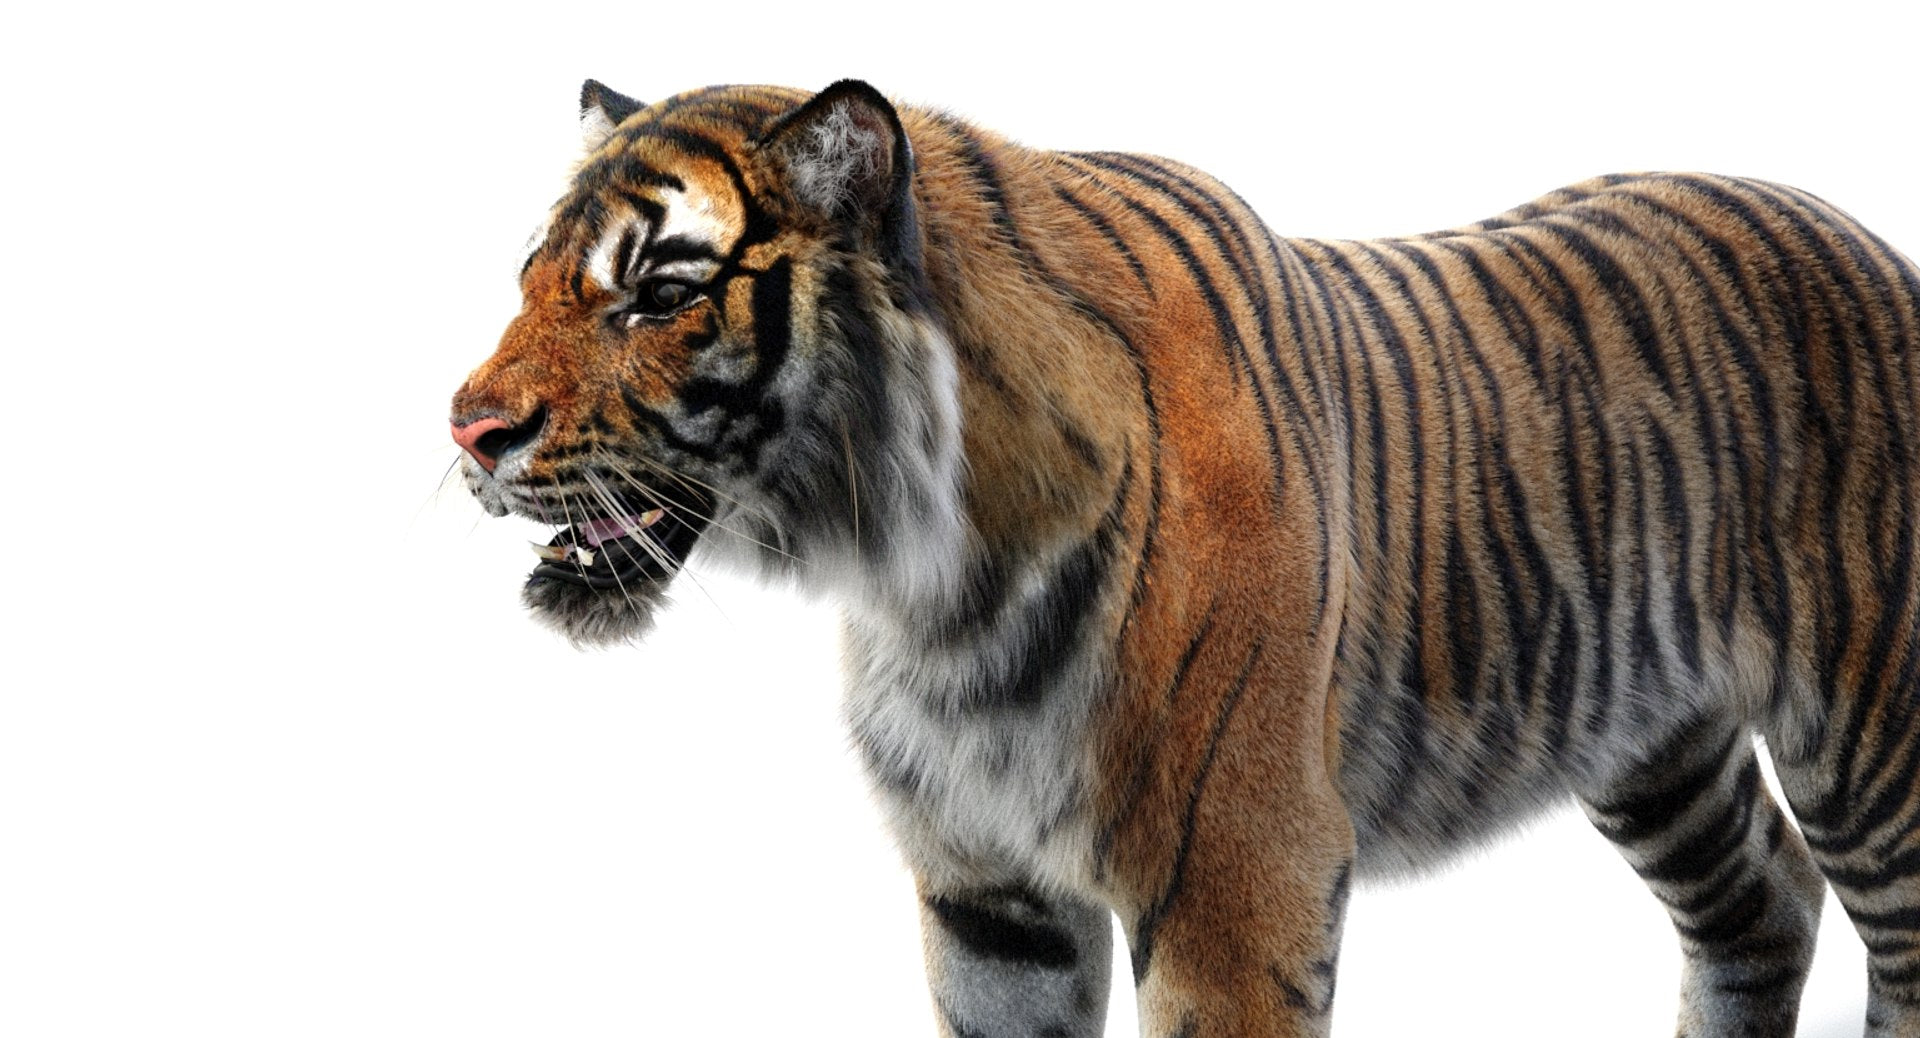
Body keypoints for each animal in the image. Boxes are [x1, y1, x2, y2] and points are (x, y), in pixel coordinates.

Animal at [449, 78, 1920, 1037]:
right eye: (531, 279)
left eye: (658, 295)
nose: (465, 428)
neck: (920, 571)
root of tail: (1862, 233)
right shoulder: (989, 895)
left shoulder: (1239, 876)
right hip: (1653, 737)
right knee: (1764, 902)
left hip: (1870, 740)